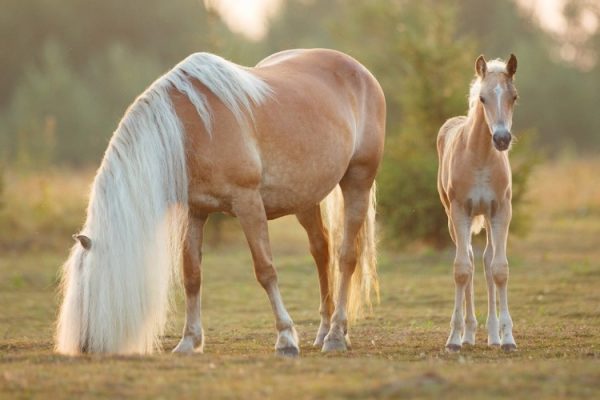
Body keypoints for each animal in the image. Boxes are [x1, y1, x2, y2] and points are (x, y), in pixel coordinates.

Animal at [55, 49, 384, 356]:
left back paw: (336, 335)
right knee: (321, 251)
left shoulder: (248, 203)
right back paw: (324, 330)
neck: (190, 129)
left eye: (89, 290)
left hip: (357, 181)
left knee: (346, 257)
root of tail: (361, 72)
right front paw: (189, 341)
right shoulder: (196, 211)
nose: (84, 346)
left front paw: (286, 338)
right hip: (305, 199)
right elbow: (191, 274)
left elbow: (265, 270)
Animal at [438, 54, 516, 352]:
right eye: (482, 98)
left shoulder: (502, 211)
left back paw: (492, 335)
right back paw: (468, 334)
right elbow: (461, 270)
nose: (502, 138)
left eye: (514, 97)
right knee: (470, 261)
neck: (481, 157)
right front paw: (453, 339)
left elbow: (499, 269)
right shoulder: (460, 211)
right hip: (454, 218)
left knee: (485, 261)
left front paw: (508, 338)